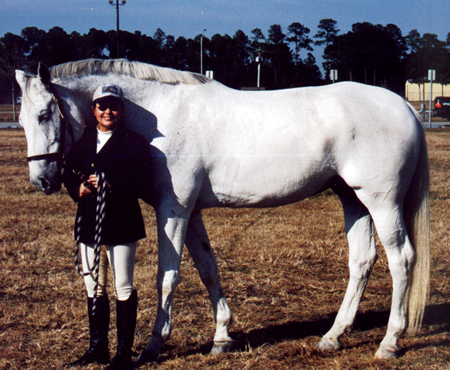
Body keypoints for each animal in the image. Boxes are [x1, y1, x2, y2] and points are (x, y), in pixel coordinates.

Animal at [14, 59, 428, 362]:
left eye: (45, 114)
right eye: (20, 119)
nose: (42, 180)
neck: (160, 115)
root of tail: (405, 106)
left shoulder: (174, 210)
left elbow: (168, 276)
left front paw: (153, 345)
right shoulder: (190, 212)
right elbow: (207, 269)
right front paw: (222, 337)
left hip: (381, 202)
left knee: (402, 259)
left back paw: (389, 342)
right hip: (352, 199)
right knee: (362, 260)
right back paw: (332, 337)